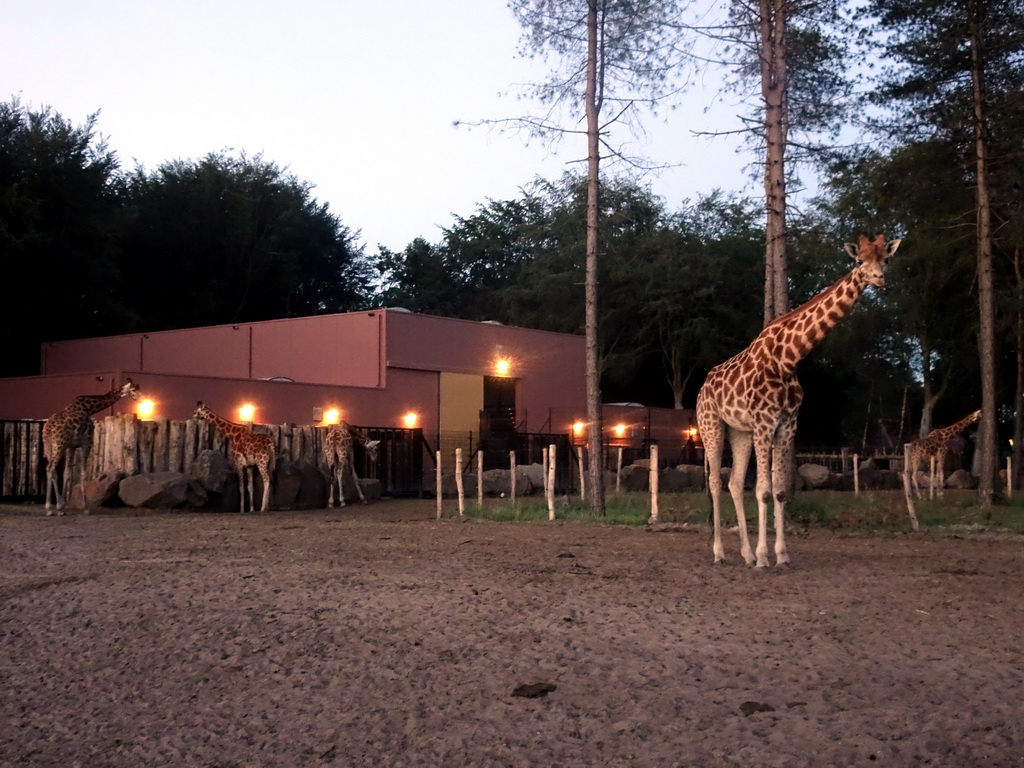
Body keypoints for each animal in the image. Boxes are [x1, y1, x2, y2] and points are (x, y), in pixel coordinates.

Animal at [43, 380, 141, 518]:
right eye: (133, 390)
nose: (140, 398)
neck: (89, 409)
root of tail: (48, 428)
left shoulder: (71, 446)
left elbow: (67, 472)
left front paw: (64, 506)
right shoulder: (87, 442)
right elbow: (83, 473)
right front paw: (85, 508)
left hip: (49, 444)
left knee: (50, 469)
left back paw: (51, 508)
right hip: (59, 444)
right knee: (51, 468)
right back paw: (50, 508)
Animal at [696, 233, 905, 565]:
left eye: (886, 259)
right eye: (859, 260)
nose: (878, 278)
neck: (788, 359)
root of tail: (703, 387)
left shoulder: (787, 426)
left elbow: (780, 491)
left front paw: (780, 555)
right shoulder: (765, 424)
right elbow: (764, 490)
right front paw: (764, 557)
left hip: (739, 432)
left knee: (734, 483)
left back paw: (745, 554)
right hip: (710, 425)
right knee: (716, 483)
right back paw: (720, 553)